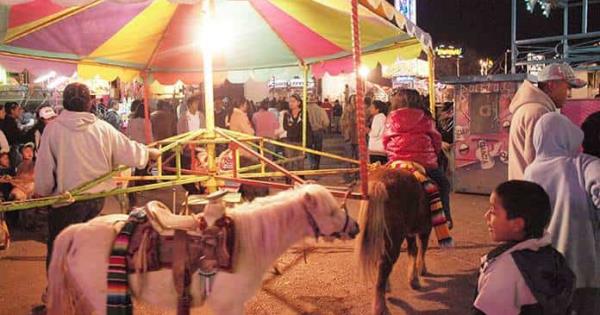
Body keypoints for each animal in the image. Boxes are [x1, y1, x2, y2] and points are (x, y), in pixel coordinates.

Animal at [356, 167, 432, 314]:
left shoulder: (410, 232)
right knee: (384, 265)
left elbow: (413, 251)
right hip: (394, 239)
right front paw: (420, 271)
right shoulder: (425, 229)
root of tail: (378, 183)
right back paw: (381, 307)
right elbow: (421, 250)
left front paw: (413, 279)